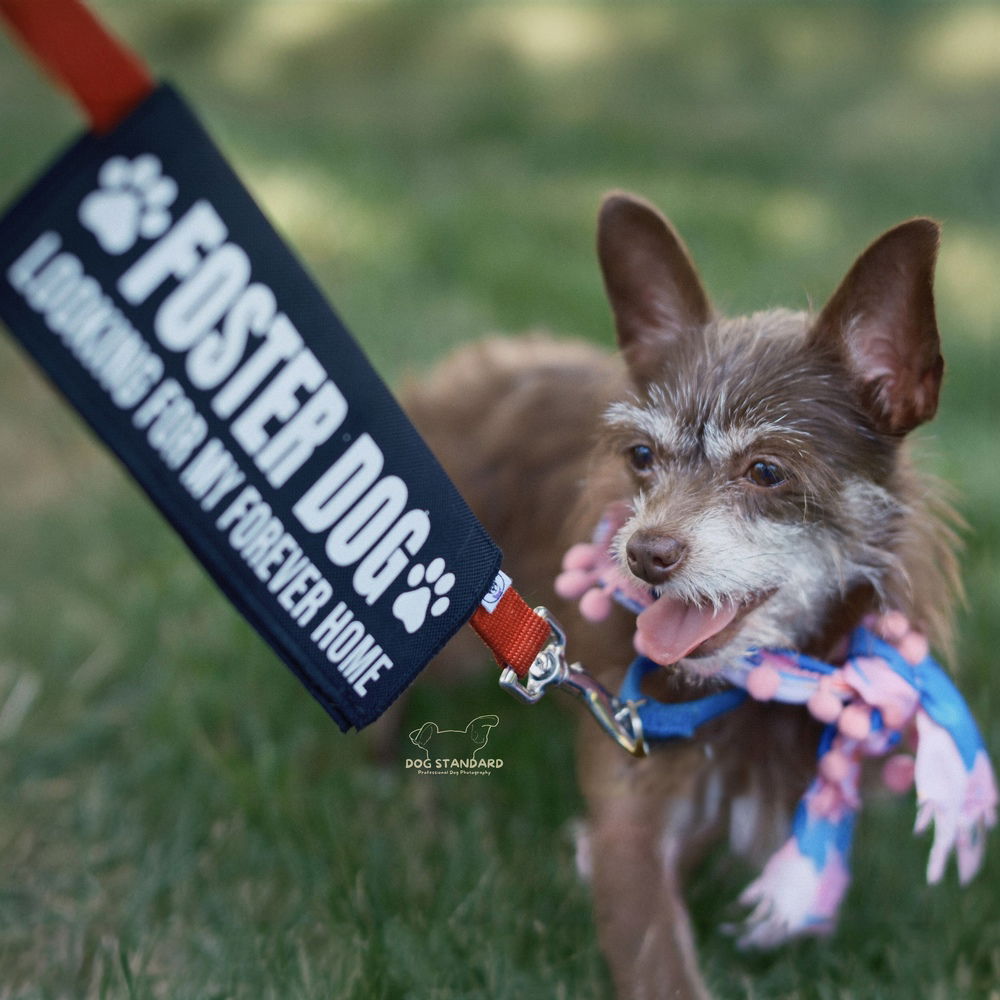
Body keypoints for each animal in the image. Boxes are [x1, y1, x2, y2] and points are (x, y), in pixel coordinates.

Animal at [400, 191, 960, 996]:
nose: (644, 555)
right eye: (641, 456)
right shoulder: (635, 830)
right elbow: (661, 962)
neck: (745, 692)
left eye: (767, 471)